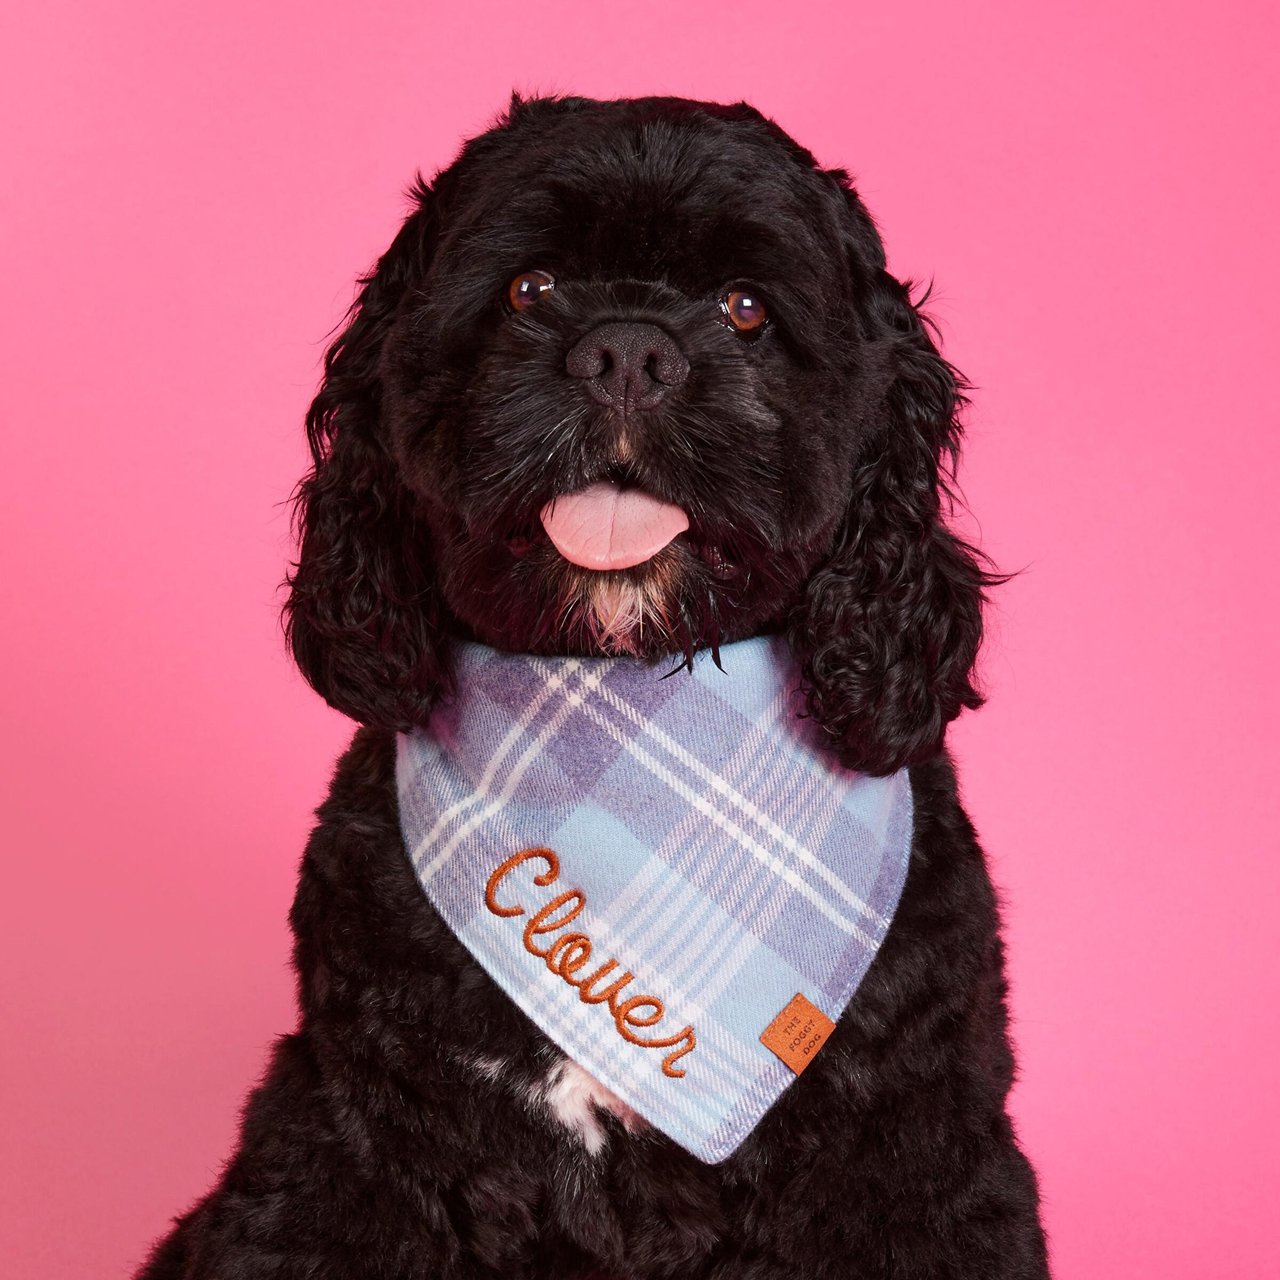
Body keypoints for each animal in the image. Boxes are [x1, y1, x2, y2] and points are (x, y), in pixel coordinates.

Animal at [142, 94, 1049, 1274]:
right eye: (529, 289)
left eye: (744, 306)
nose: (627, 350)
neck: (619, 704)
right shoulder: (350, 1137)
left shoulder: (914, 1158)